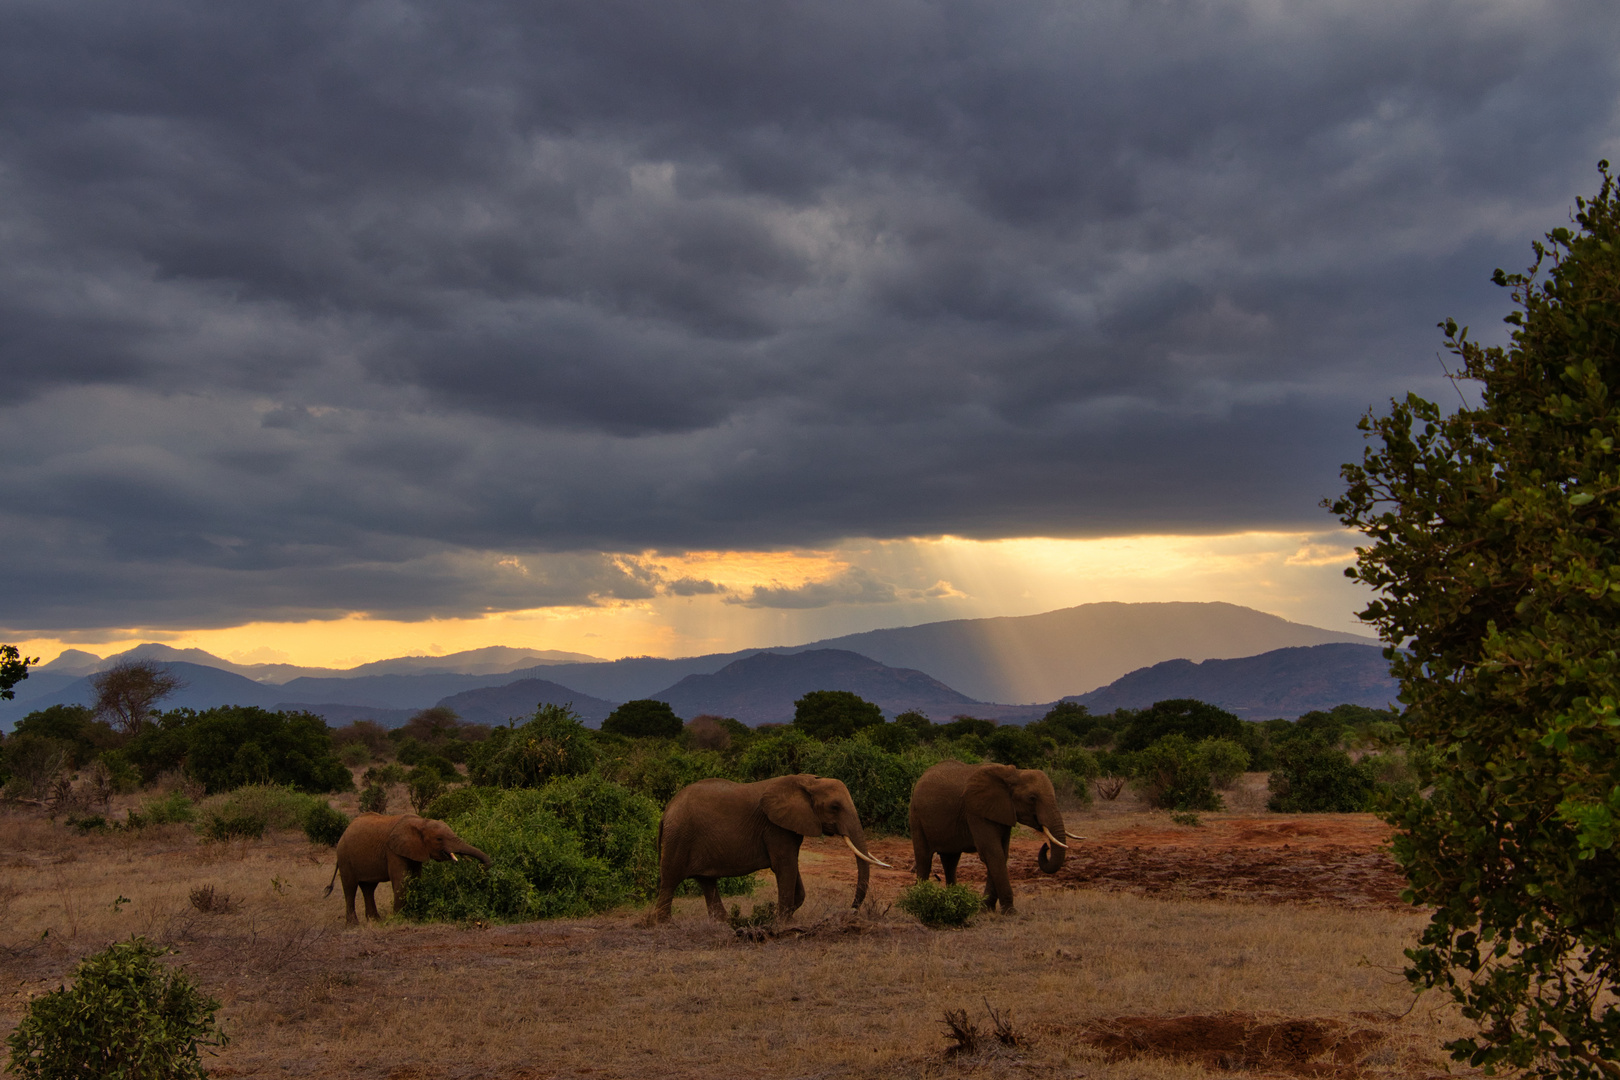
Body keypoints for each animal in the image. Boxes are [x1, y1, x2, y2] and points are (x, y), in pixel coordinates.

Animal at [320, 816, 486, 926]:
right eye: (439, 839)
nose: (484, 867)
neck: (420, 822)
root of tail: (344, 833)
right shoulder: (393, 851)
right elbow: (401, 880)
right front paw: (399, 919)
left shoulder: (415, 850)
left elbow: (416, 879)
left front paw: (415, 915)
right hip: (344, 857)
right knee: (350, 888)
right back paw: (353, 924)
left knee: (368, 888)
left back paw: (375, 921)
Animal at [651, 773, 894, 926]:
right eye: (835, 807)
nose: (850, 911)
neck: (807, 781)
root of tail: (665, 812)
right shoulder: (775, 827)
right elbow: (785, 866)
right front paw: (783, 922)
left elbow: (792, 869)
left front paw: (787, 917)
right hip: (679, 836)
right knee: (670, 880)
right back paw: (665, 924)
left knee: (706, 882)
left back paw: (723, 921)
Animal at [907, 761, 1082, 913]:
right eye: (1032, 798)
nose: (1046, 846)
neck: (1014, 774)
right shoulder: (976, 812)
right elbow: (993, 853)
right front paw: (1010, 912)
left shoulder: (1003, 812)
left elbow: (1001, 854)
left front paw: (985, 909)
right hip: (916, 816)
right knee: (924, 859)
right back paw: (919, 899)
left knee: (950, 861)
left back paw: (953, 900)